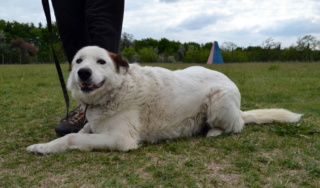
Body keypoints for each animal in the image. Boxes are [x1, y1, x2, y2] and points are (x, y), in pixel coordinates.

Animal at [26, 46, 302, 154]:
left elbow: (72, 138)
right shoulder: (94, 125)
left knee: (237, 126)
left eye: (101, 62)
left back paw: (214, 131)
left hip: (219, 99)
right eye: (79, 61)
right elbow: (74, 133)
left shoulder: (121, 139)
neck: (117, 90)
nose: (83, 72)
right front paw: (43, 146)